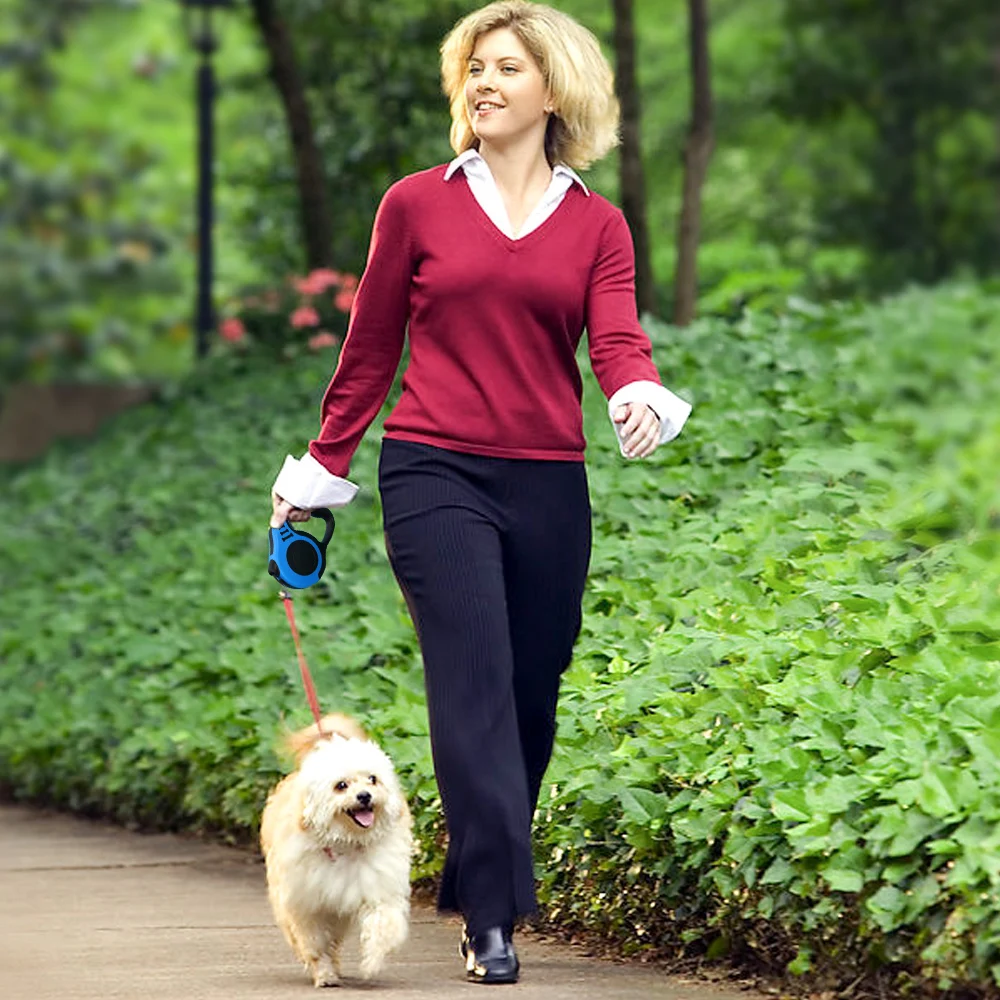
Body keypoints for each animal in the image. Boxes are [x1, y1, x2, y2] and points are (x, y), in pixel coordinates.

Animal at [262, 716, 414, 988]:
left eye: (372, 779)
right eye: (341, 785)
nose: (364, 796)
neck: (348, 843)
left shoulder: (379, 890)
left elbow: (382, 925)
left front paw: (371, 963)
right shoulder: (308, 906)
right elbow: (315, 944)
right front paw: (324, 974)